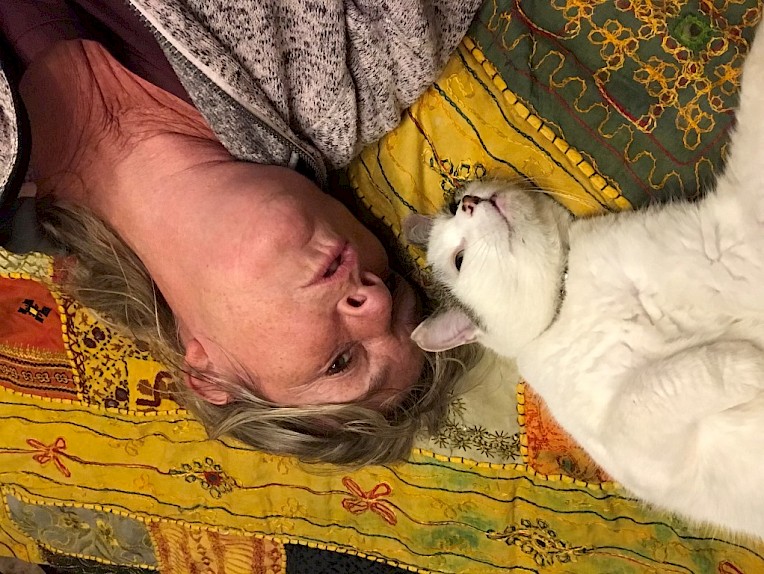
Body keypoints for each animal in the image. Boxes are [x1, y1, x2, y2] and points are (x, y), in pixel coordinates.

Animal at [405, 21, 764, 540]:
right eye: (459, 259)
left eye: (457, 205)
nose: (470, 203)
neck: (570, 290)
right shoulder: (656, 451)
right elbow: (655, 388)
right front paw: (750, 364)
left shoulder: (735, 228)